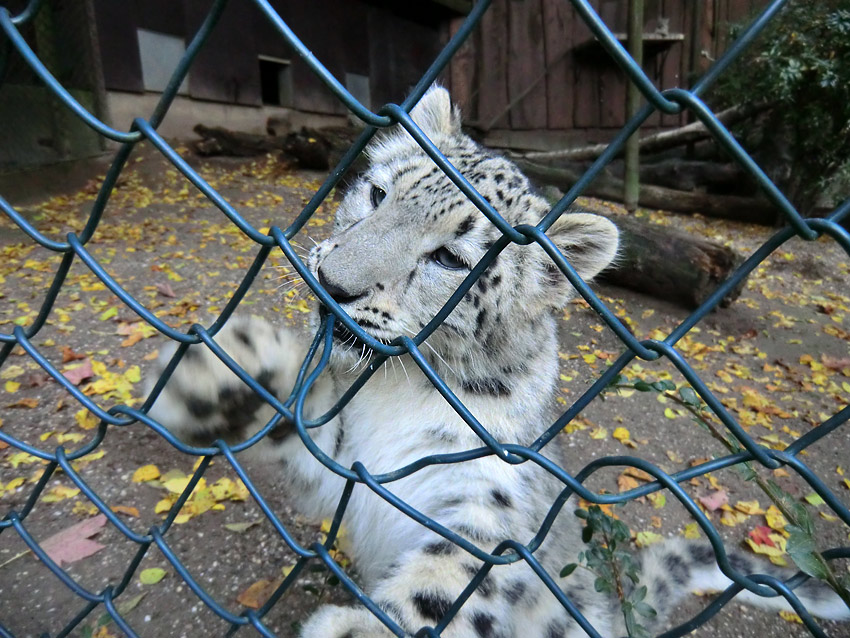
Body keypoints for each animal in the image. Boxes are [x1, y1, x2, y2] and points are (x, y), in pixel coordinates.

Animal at [149, 87, 844, 636]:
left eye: (451, 260)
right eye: (376, 193)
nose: (334, 284)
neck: (396, 391)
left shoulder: (489, 500)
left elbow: (454, 578)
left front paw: (357, 630)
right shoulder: (350, 463)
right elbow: (311, 430)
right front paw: (223, 374)